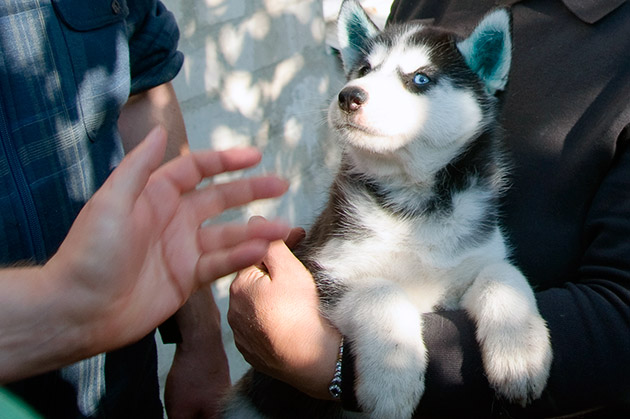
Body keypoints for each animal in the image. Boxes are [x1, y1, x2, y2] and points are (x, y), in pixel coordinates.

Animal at [225, 1, 552, 418]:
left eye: (420, 79)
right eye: (364, 70)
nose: (349, 95)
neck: (415, 206)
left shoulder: (476, 257)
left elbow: (503, 275)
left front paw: (521, 356)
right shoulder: (324, 265)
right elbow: (380, 291)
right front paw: (392, 382)